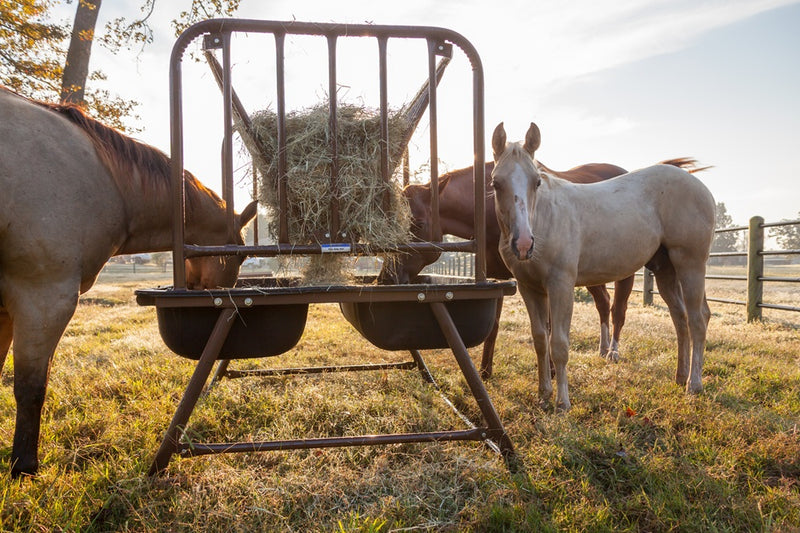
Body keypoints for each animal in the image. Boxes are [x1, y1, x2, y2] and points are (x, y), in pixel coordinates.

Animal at [490, 122, 715, 411]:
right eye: (496, 183)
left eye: (536, 181)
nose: (523, 244)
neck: (544, 218)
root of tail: (698, 185)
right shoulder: (530, 288)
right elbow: (540, 341)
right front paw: (543, 395)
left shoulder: (561, 285)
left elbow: (559, 345)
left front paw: (562, 403)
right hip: (666, 270)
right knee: (681, 318)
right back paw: (680, 376)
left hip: (691, 264)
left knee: (698, 319)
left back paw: (693, 385)